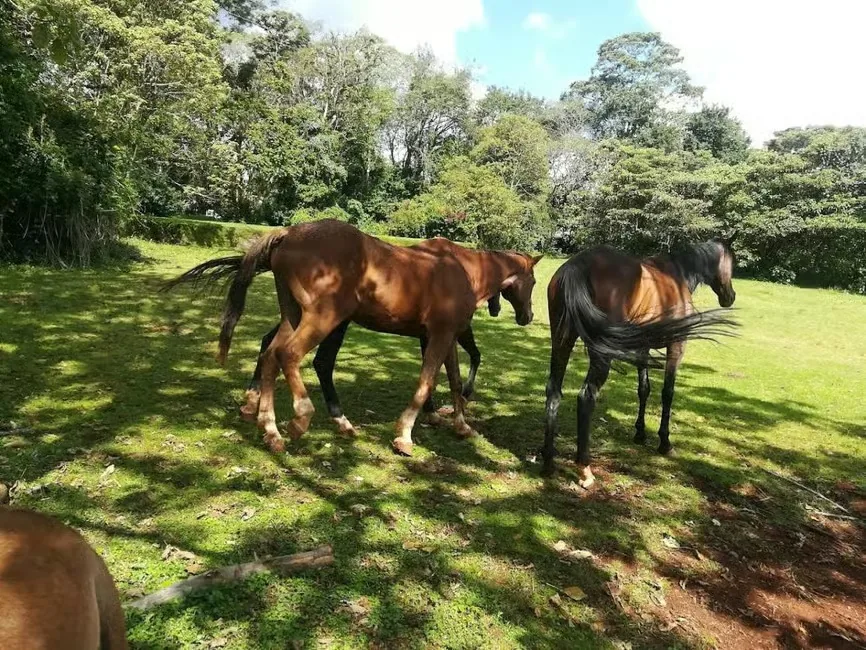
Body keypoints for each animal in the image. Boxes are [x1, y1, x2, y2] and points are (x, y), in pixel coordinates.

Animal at [240, 237, 505, 434]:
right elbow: (464, 359)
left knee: (272, 348)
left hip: (305, 316)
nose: (496, 310)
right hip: (329, 320)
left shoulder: (433, 333)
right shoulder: (447, 330)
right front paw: (456, 401)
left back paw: (260, 410)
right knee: (311, 359)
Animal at [542, 238, 738, 488]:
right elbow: (667, 393)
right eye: (731, 261)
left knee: (554, 391)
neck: (679, 275)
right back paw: (585, 469)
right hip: (600, 355)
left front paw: (640, 433)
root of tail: (578, 265)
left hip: (561, 342)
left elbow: (643, 389)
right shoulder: (677, 346)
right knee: (586, 397)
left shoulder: (643, 348)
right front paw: (664, 442)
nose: (730, 296)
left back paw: (548, 461)